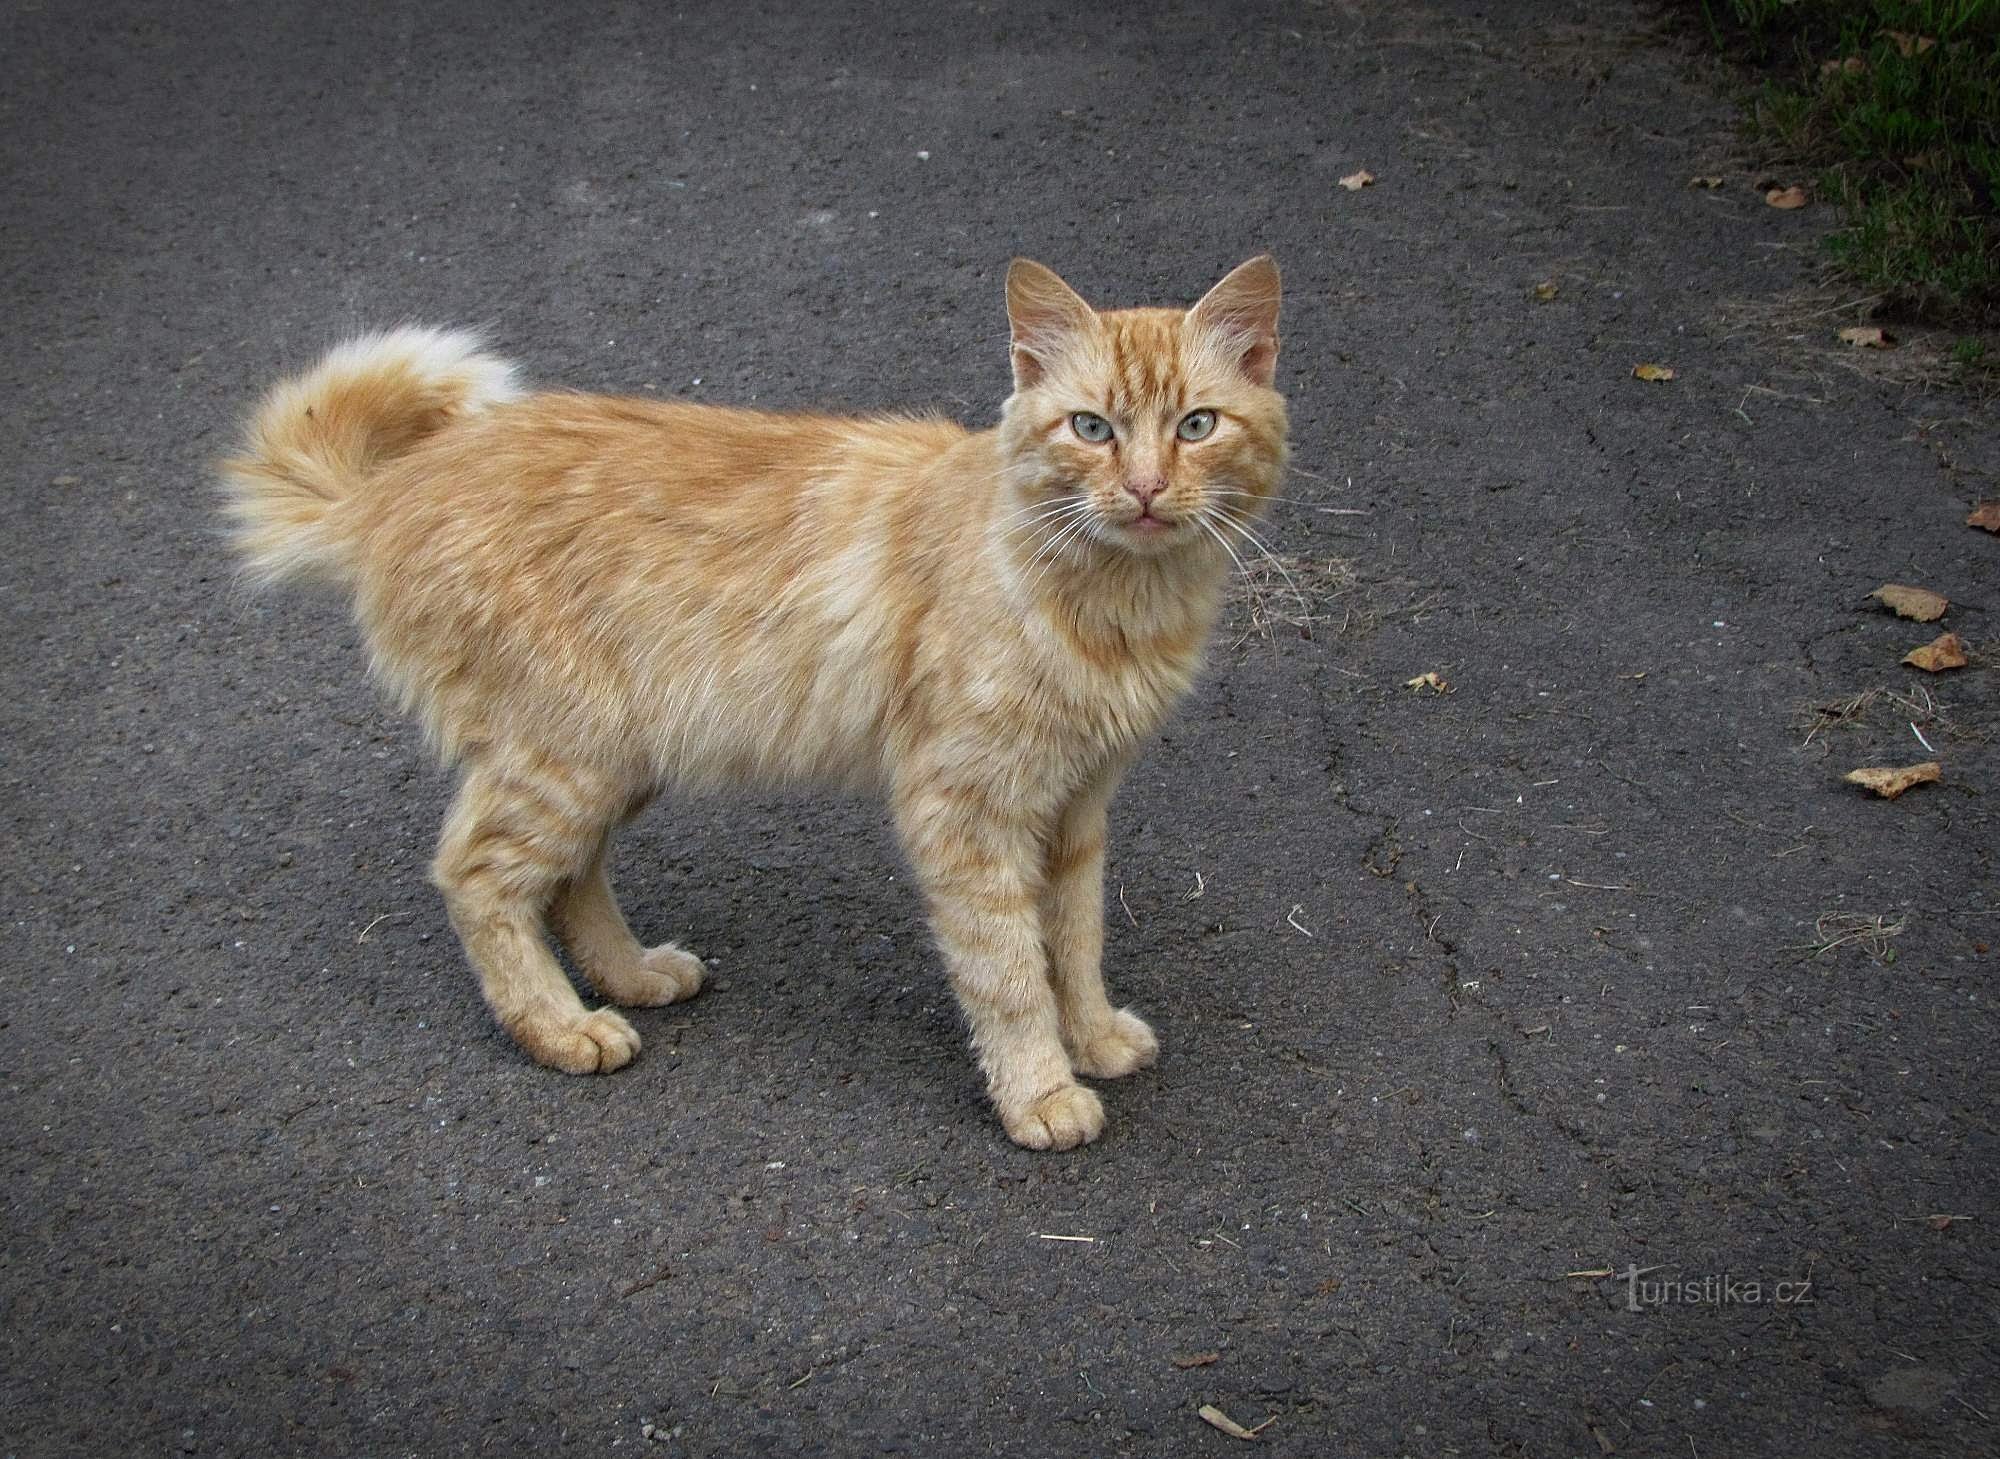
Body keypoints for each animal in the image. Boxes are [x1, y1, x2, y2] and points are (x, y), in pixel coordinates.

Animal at [219, 257, 1280, 1151]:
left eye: (1196, 425)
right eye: (1092, 428)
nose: (1145, 489)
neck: (1113, 603)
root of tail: (398, 485)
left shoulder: (1076, 810)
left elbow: (1077, 942)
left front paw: (1091, 1037)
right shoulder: (966, 811)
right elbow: (1010, 970)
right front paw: (1041, 1090)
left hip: (619, 757)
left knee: (565, 878)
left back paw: (632, 976)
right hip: (566, 756)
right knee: (479, 876)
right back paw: (563, 1026)